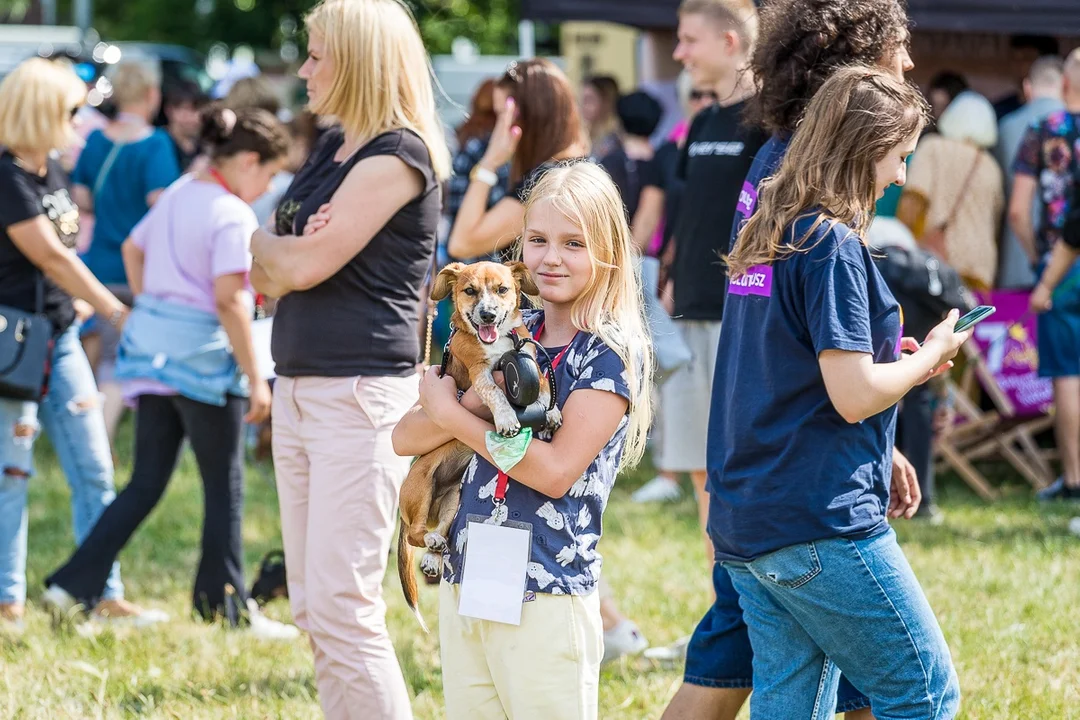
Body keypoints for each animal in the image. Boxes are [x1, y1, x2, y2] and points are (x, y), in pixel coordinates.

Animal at [401, 262, 561, 626]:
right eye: (470, 291)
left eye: (502, 290)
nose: (487, 315)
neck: (500, 342)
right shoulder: (480, 373)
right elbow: (496, 394)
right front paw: (506, 418)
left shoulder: (529, 354)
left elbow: (544, 380)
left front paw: (552, 409)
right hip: (422, 485)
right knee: (415, 532)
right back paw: (428, 541)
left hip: (452, 499)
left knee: (440, 530)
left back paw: (434, 554)